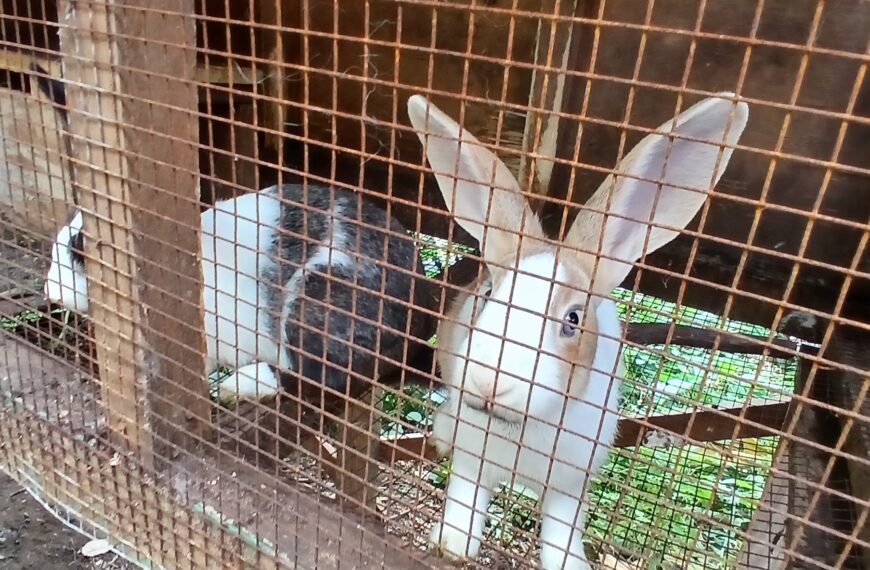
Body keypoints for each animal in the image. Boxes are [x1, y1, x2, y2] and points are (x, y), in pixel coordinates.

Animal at [406, 92, 748, 569]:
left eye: (572, 319)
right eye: (489, 293)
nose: (490, 381)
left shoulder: (571, 481)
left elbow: (562, 529)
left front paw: (569, 563)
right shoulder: (474, 455)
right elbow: (465, 497)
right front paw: (453, 544)